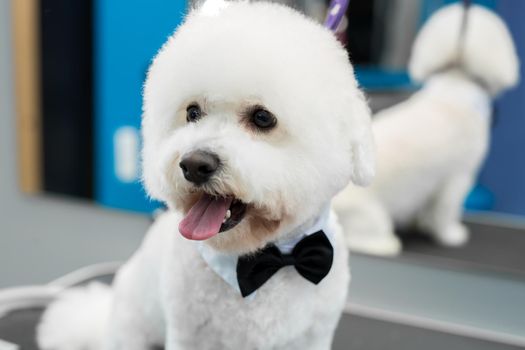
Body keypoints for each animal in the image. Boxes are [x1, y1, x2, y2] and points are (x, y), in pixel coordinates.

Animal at [37, 0, 372, 350]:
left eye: (263, 118)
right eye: (192, 112)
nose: (194, 164)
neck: (263, 259)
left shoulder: (313, 336)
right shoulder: (188, 333)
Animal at [334, 3, 516, 258]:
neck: (456, 84)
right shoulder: (457, 178)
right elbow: (446, 212)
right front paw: (450, 235)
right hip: (371, 217)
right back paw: (386, 244)